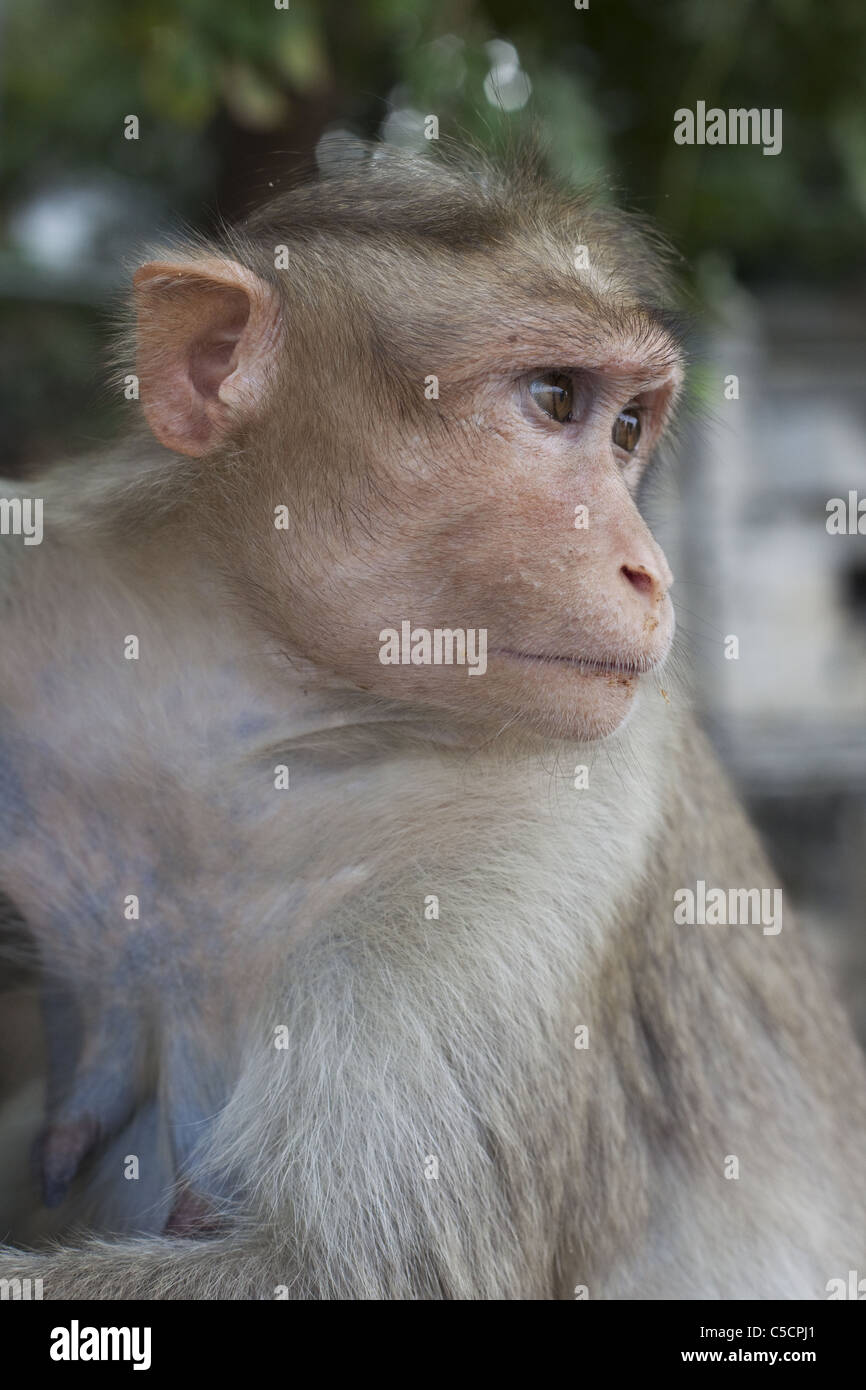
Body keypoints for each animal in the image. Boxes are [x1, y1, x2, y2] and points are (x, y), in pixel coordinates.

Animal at [0, 146, 861, 1295]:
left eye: (627, 428)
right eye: (555, 398)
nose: (652, 569)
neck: (261, 688)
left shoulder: (569, 812)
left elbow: (346, 1264)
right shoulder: (42, 594)